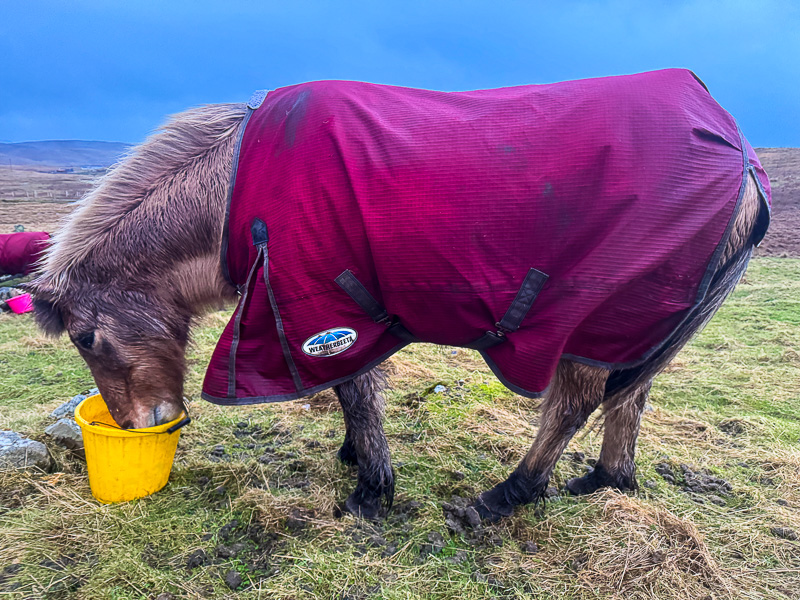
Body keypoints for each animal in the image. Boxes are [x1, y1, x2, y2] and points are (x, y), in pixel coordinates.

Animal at [28, 72, 772, 520]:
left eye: (86, 337)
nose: (138, 427)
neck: (234, 192)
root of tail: (740, 155)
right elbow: (348, 392)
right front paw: (355, 461)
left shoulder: (325, 311)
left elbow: (355, 391)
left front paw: (371, 489)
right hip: (633, 321)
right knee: (630, 397)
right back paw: (606, 480)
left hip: (592, 321)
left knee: (573, 406)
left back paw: (504, 497)